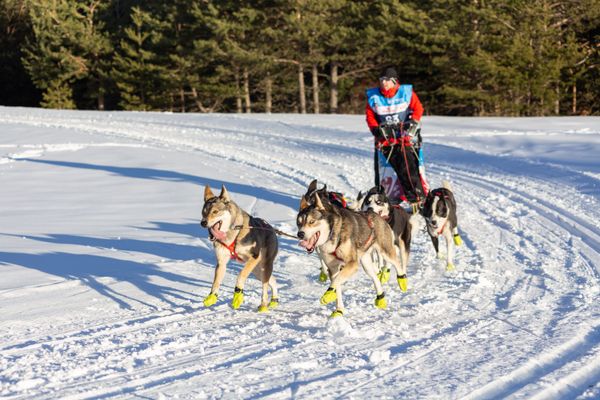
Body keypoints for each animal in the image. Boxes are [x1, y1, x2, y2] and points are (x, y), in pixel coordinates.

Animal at [200, 184, 278, 312]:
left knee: (265, 286)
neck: (232, 233)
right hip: (258, 271)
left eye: (215, 211)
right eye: (203, 212)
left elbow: (241, 275)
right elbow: (216, 282)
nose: (203, 223)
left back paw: (263, 305)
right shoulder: (221, 262)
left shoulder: (254, 257)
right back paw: (274, 300)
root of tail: (271, 228)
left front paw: (238, 294)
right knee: (273, 280)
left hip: (263, 266)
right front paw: (212, 297)